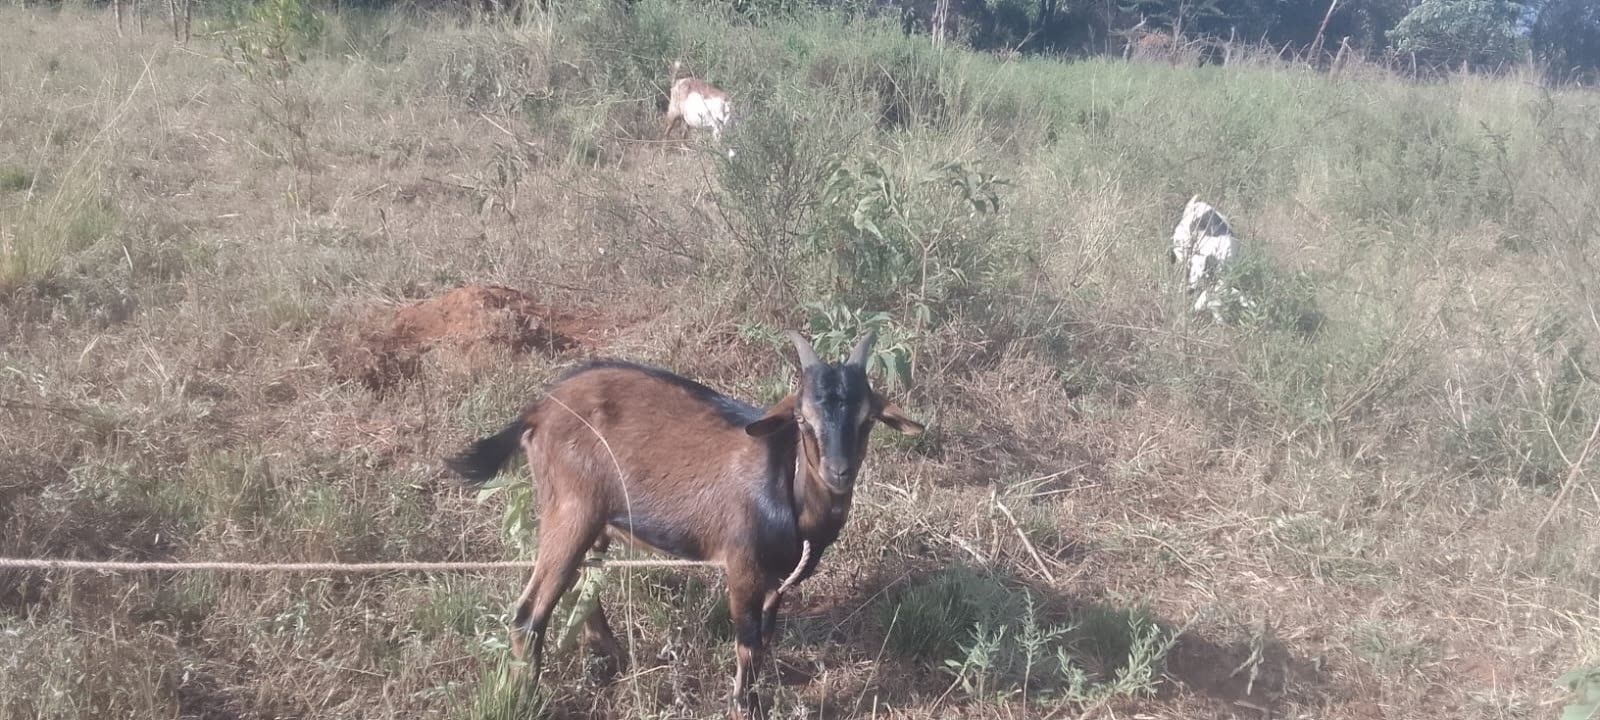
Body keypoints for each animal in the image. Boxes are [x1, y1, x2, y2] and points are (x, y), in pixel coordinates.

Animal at [444, 332, 923, 718]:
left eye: (867, 419)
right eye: (803, 419)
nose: (839, 471)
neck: (786, 484)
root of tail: (540, 408)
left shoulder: (777, 578)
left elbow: (766, 638)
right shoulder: (743, 566)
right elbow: (748, 643)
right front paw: (745, 706)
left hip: (592, 522)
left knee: (583, 586)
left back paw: (612, 656)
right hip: (570, 510)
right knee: (529, 612)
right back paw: (527, 697)